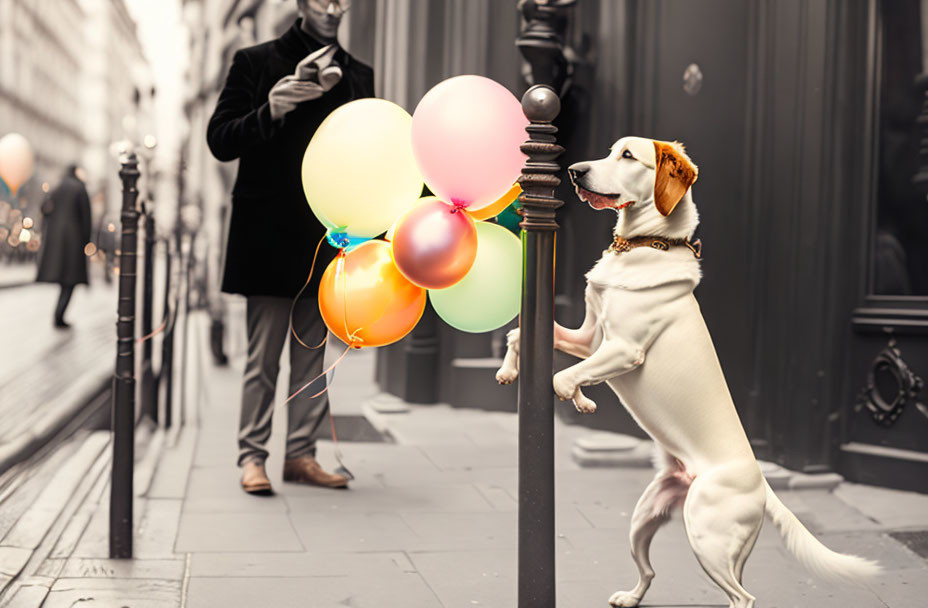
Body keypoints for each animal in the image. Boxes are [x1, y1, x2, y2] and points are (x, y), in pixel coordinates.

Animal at [492, 137, 876, 608]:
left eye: (627, 156)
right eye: (609, 151)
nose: (575, 171)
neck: (643, 245)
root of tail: (763, 484)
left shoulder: (623, 349)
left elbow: (562, 378)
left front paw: (578, 397)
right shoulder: (589, 338)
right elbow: (520, 334)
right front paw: (511, 374)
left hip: (706, 536)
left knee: (743, 598)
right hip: (645, 522)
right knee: (653, 571)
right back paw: (629, 597)